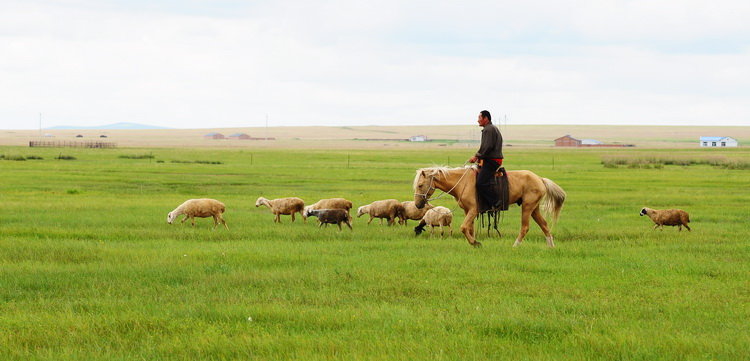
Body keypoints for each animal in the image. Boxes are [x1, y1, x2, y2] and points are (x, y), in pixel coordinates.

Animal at [414, 167, 568, 248]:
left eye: (420, 185)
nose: (417, 204)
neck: (462, 183)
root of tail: (540, 179)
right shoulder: (467, 211)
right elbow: (470, 228)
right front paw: (474, 242)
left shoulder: (473, 210)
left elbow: (463, 227)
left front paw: (475, 242)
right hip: (534, 208)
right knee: (544, 225)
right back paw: (551, 246)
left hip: (527, 207)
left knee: (525, 227)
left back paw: (515, 246)